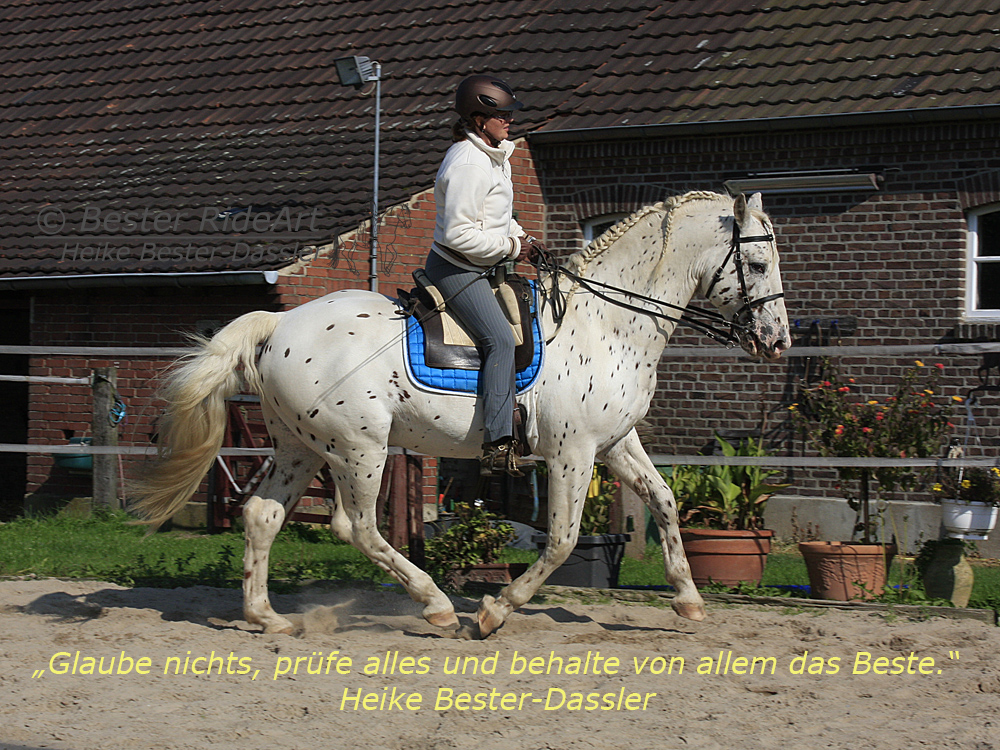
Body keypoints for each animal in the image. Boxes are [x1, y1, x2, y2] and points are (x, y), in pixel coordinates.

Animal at [133, 189, 788, 640]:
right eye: (756, 266)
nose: (777, 341)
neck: (609, 323)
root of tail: (279, 324)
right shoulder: (570, 453)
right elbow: (561, 539)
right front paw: (496, 611)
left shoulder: (614, 443)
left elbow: (666, 502)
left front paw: (688, 599)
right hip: (358, 450)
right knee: (358, 528)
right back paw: (438, 607)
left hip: (301, 447)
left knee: (263, 516)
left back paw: (267, 616)